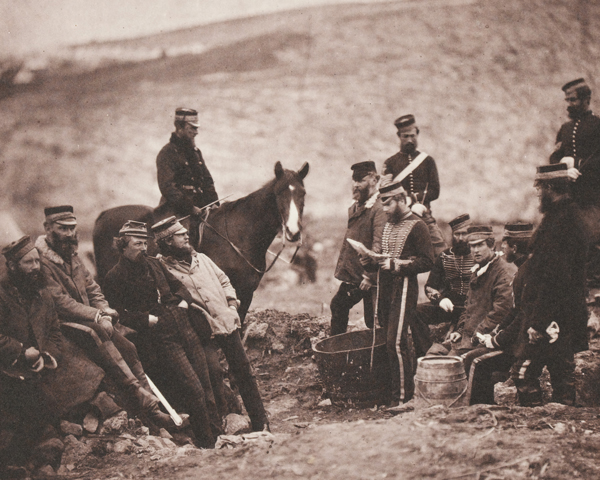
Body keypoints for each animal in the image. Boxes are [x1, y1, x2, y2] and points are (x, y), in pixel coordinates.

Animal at [95, 162, 310, 322]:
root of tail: (103, 215)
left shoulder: (246, 292)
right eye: (279, 193)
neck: (238, 235)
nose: (293, 232)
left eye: (303, 193)